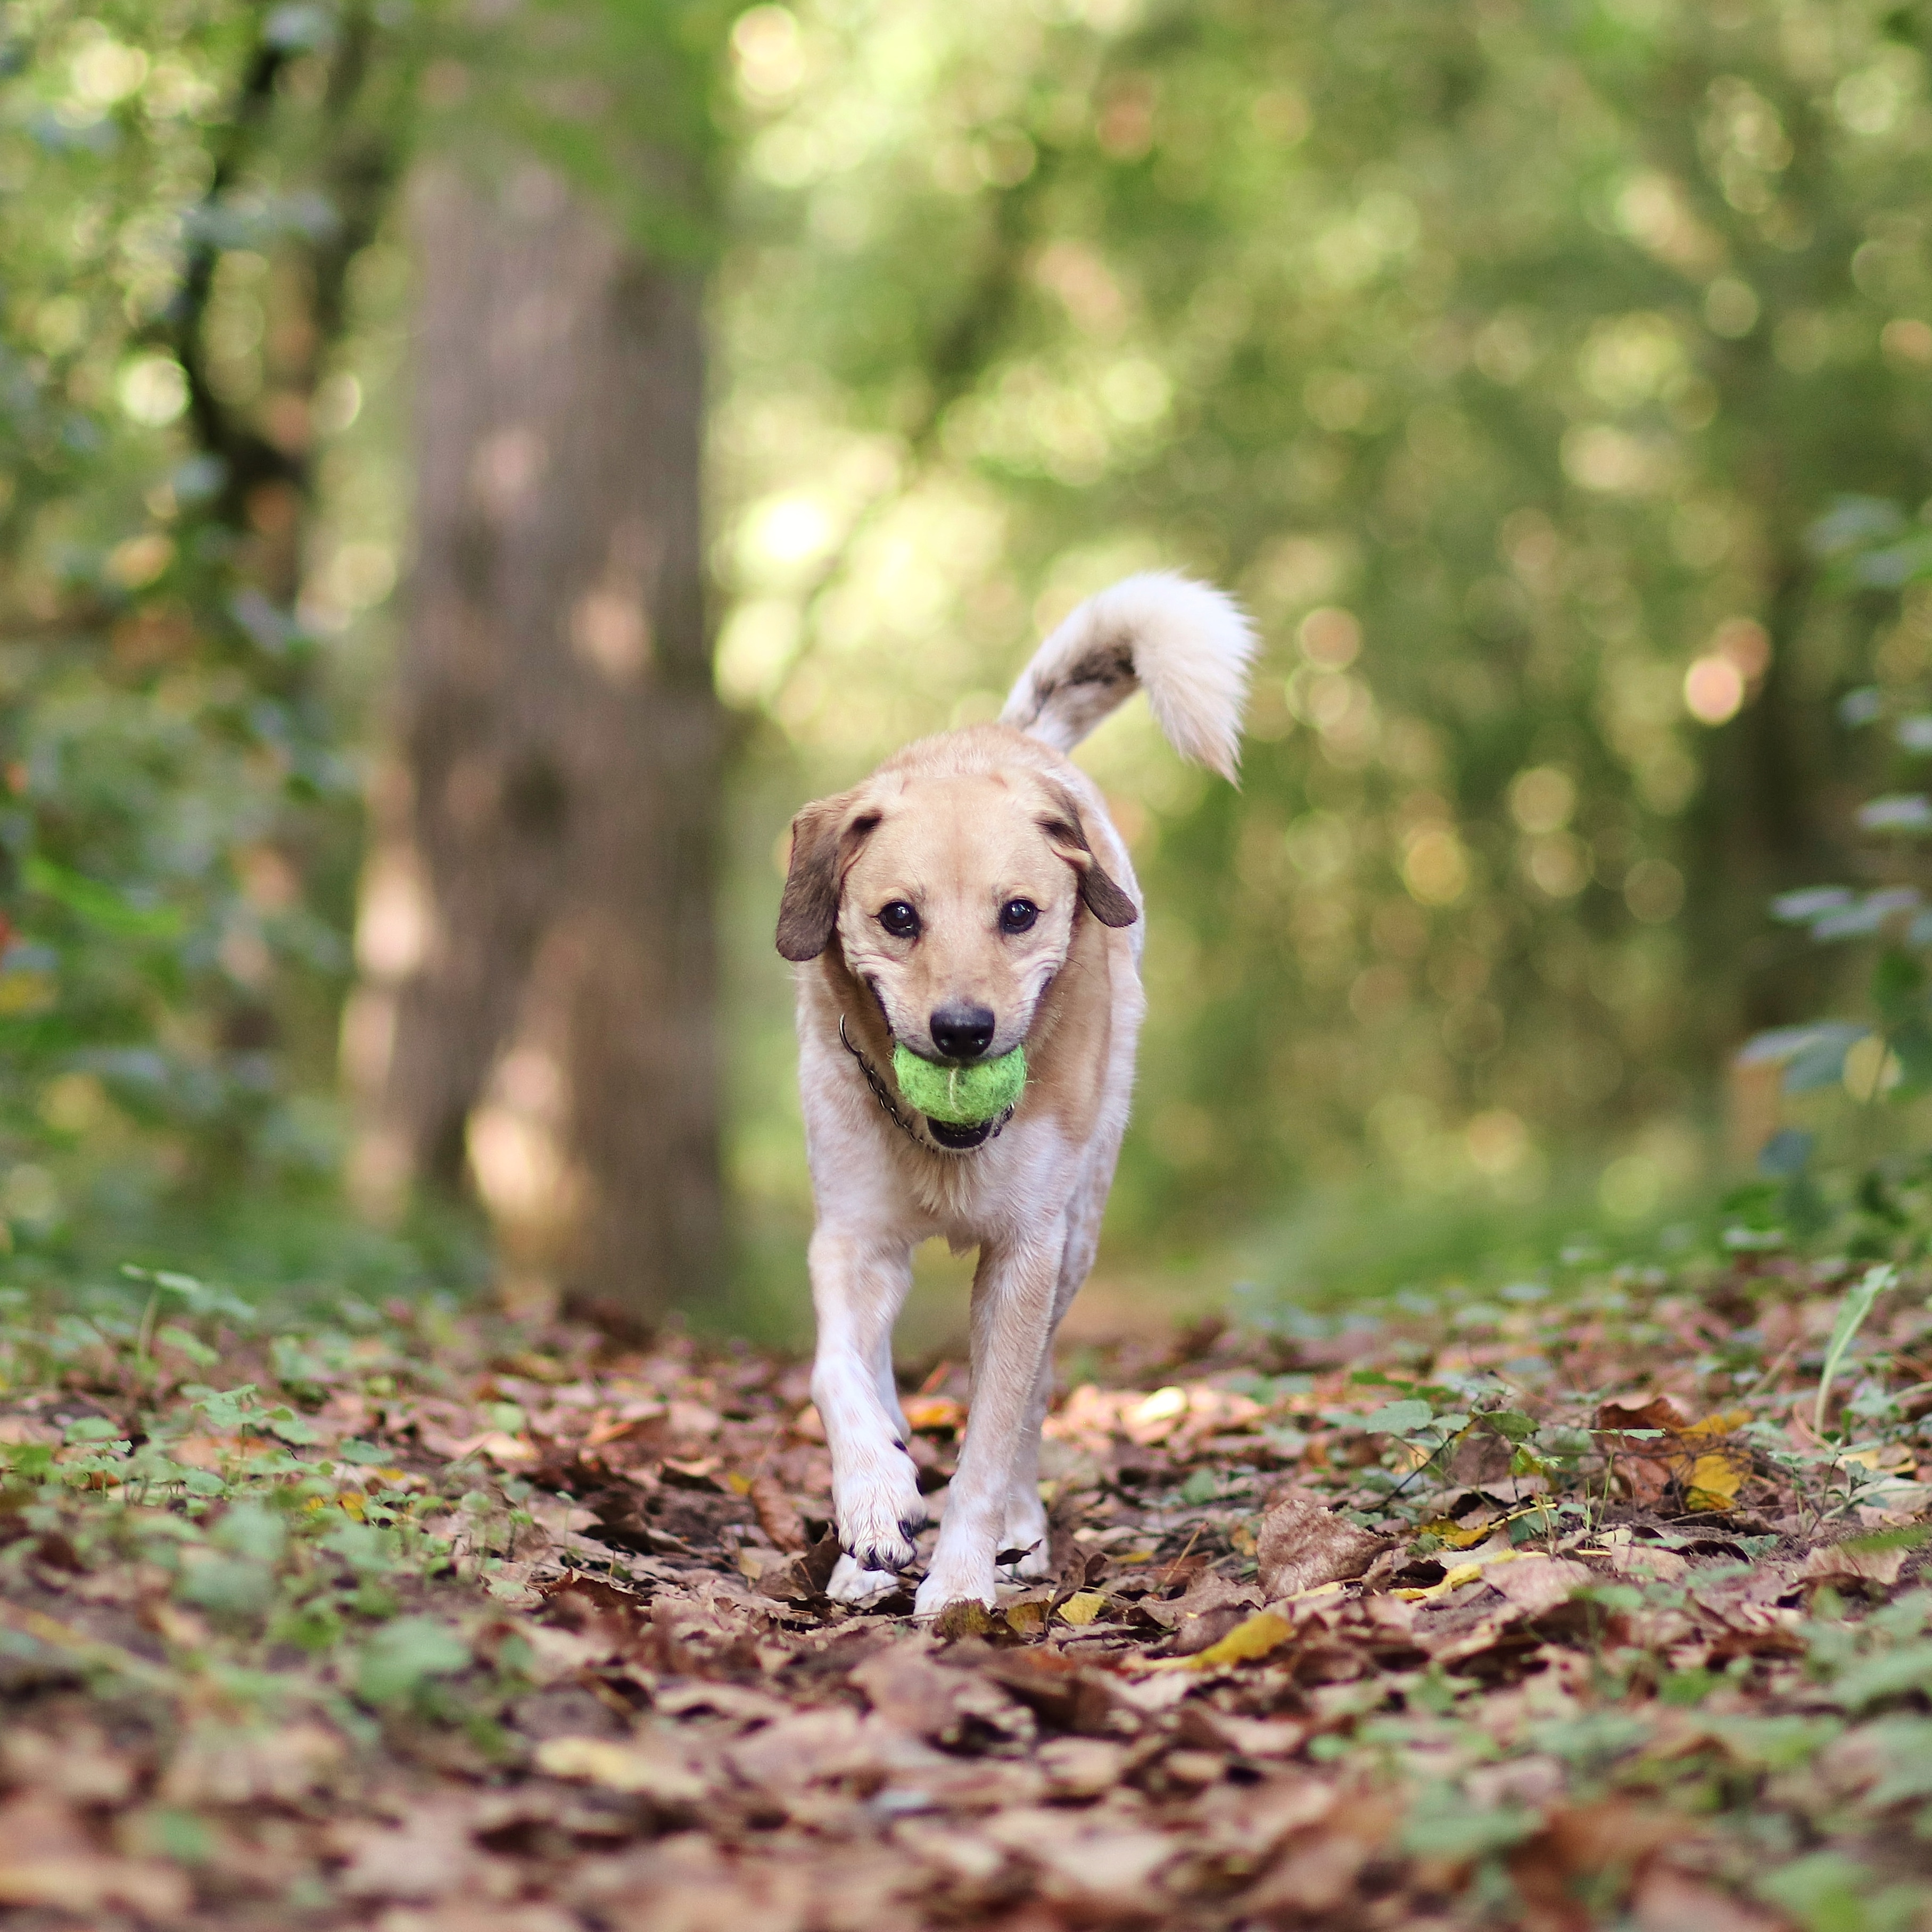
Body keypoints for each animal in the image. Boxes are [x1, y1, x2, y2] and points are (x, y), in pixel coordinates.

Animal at [775, 573, 1255, 1614]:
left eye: (1019, 914)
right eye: (898, 917)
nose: (963, 1031)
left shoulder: (1027, 1254)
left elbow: (995, 1435)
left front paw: (960, 1581)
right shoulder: (852, 1239)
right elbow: (836, 1373)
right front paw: (875, 1502)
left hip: (1079, 1230)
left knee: (1031, 1401)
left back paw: (1019, 1535)